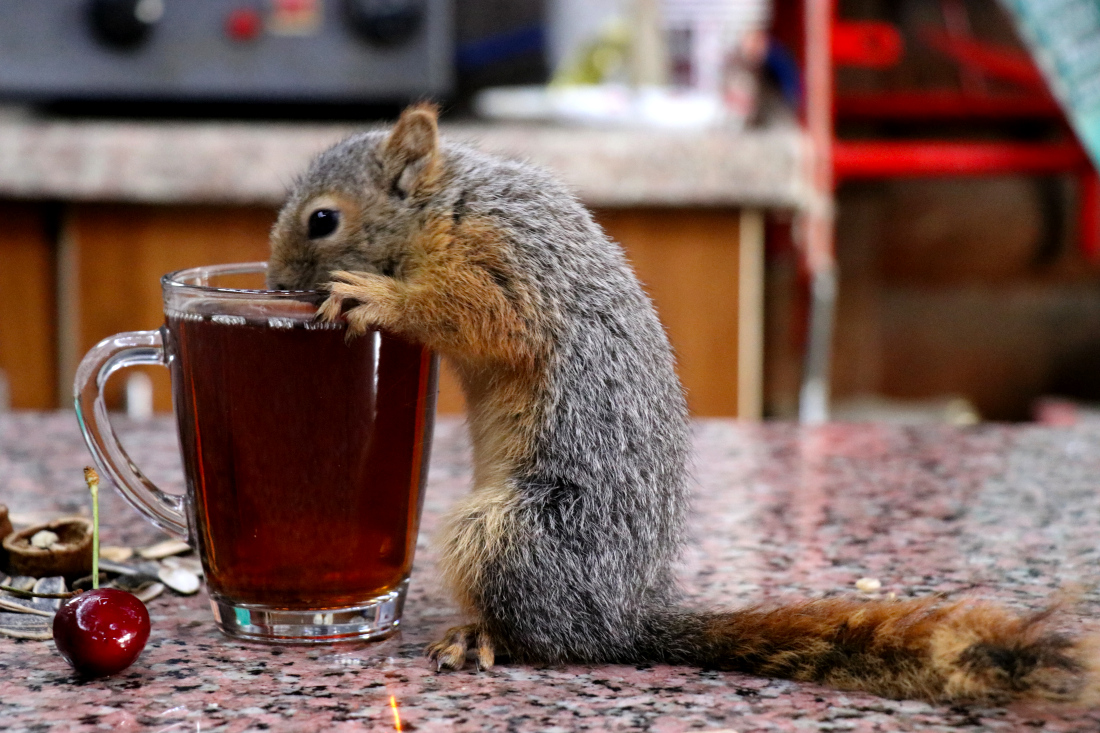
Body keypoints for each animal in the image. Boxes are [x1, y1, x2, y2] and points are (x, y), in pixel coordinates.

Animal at [267, 104, 1096, 704]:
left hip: (512, 530)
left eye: (322, 218)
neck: (452, 207)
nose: (273, 286)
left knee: (547, 635)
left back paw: (482, 636)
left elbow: (482, 316)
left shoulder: (508, 263)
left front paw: (378, 298)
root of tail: (624, 614)